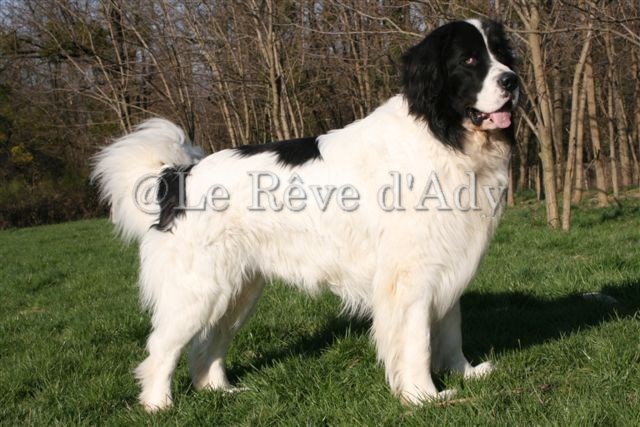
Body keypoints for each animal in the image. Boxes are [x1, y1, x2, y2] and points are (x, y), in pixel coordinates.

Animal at [92, 19, 518, 411]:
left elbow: (450, 327)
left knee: (208, 343)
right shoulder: (410, 274)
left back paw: (219, 391)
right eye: (469, 60)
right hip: (197, 288)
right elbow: (416, 340)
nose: (513, 81)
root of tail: (178, 176)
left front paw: (464, 372)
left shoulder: (447, 256)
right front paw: (422, 396)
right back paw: (158, 405)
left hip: (238, 290)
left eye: (501, 54)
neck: (442, 134)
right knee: (162, 347)